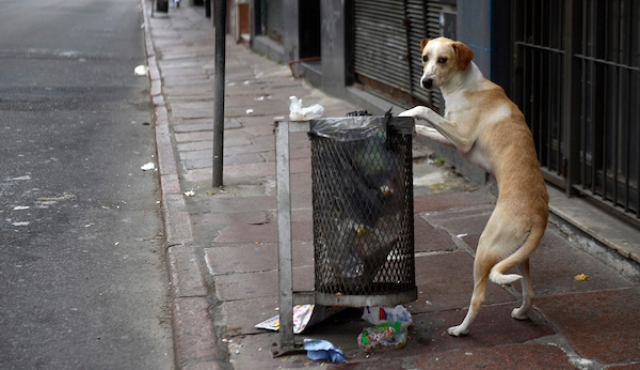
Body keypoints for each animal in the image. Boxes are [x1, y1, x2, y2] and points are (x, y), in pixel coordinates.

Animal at [398, 36, 548, 336]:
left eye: (443, 60)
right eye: (424, 57)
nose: (426, 82)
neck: (464, 86)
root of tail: (538, 215)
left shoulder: (463, 139)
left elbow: (423, 109)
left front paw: (407, 111)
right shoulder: (452, 138)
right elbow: (426, 127)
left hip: (486, 248)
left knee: (478, 298)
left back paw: (461, 330)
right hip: (517, 255)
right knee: (530, 292)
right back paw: (521, 312)